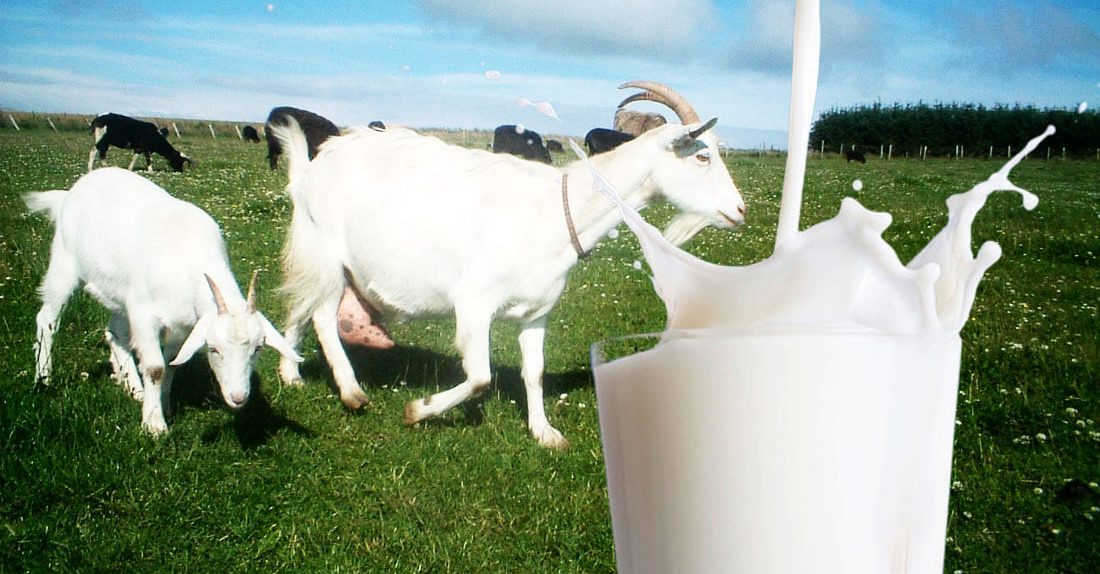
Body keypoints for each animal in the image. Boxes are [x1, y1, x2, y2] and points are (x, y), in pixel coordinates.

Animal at [24, 164, 301, 433]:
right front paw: (154, 424)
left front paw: (163, 405)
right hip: (64, 263)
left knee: (115, 332)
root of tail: (70, 193)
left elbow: (172, 363)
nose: (238, 397)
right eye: (213, 349)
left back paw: (133, 387)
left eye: (257, 349)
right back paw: (44, 378)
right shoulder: (144, 314)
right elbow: (156, 368)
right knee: (47, 319)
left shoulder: (183, 325)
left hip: (121, 295)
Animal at [273, 80, 748, 446]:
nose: (740, 210)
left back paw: (291, 374)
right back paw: (351, 391)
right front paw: (418, 410)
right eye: (703, 156)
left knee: (299, 305)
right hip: (324, 252)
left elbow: (534, 372)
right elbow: (480, 376)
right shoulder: (474, 303)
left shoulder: (538, 312)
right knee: (318, 314)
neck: (555, 210)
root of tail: (310, 168)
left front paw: (544, 433)